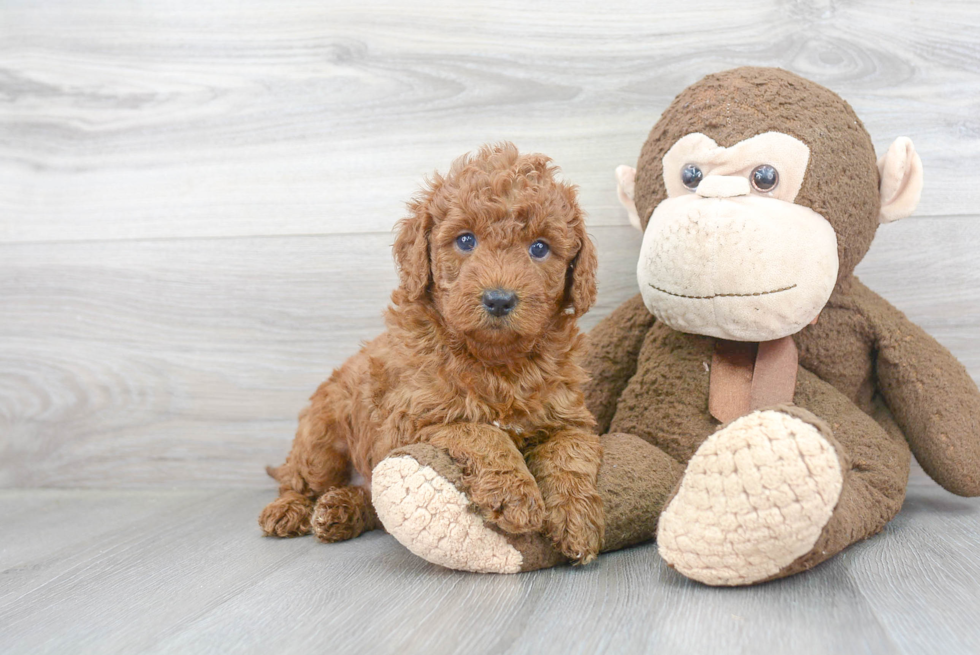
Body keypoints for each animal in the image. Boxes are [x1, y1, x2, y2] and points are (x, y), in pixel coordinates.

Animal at [256, 142, 600, 564]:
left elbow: (571, 452)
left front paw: (576, 522)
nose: (499, 300)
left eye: (540, 248)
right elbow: (481, 431)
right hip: (321, 436)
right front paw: (515, 495)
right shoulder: (412, 419)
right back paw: (288, 510)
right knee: (301, 479)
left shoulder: (568, 416)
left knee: (373, 500)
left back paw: (339, 511)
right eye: (466, 241)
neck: (495, 362)